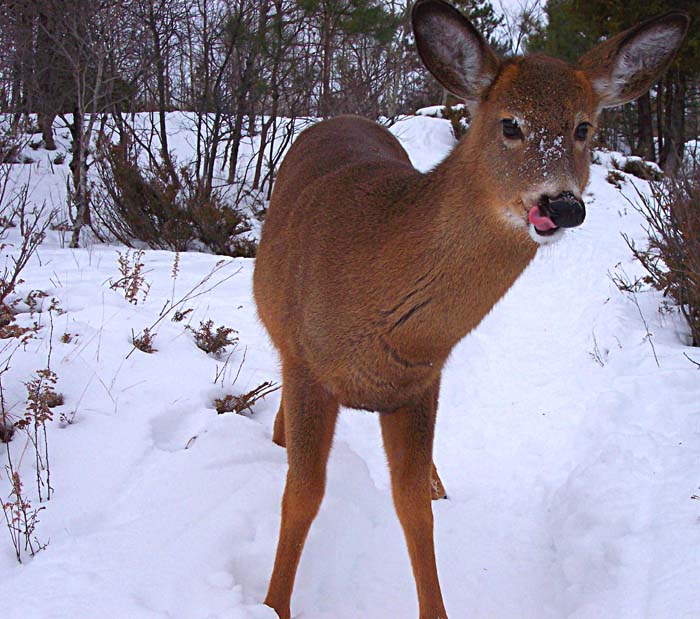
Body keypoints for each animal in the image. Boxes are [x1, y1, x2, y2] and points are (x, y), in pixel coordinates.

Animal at [253, 2, 688, 616]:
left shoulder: (420, 383)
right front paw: (272, 603)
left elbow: (412, 505)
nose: (563, 204)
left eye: (583, 127)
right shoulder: (307, 363)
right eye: (510, 124)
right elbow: (303, 495)